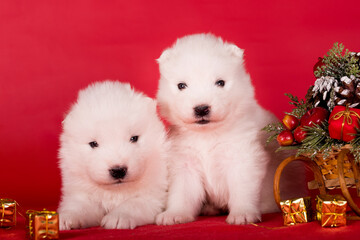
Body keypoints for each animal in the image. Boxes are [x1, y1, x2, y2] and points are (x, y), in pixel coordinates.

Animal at [57, 80, 167, 229]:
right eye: (93, 144)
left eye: (134, 138)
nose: (118, 170)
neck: (116, 191)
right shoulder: (81, 192)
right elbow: (79, 206)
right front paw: (65, 218)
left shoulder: (153, 196)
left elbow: (132, 204)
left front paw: (118, 217)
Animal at [155, 33, 304, 225]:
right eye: (181, 85)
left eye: (220, 82)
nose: (201, 108)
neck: (208, 135)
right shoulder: (185, 163)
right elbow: (181, 192)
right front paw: (175, 214)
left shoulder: (242, 158)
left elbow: (241, 189)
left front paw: (243, 213)